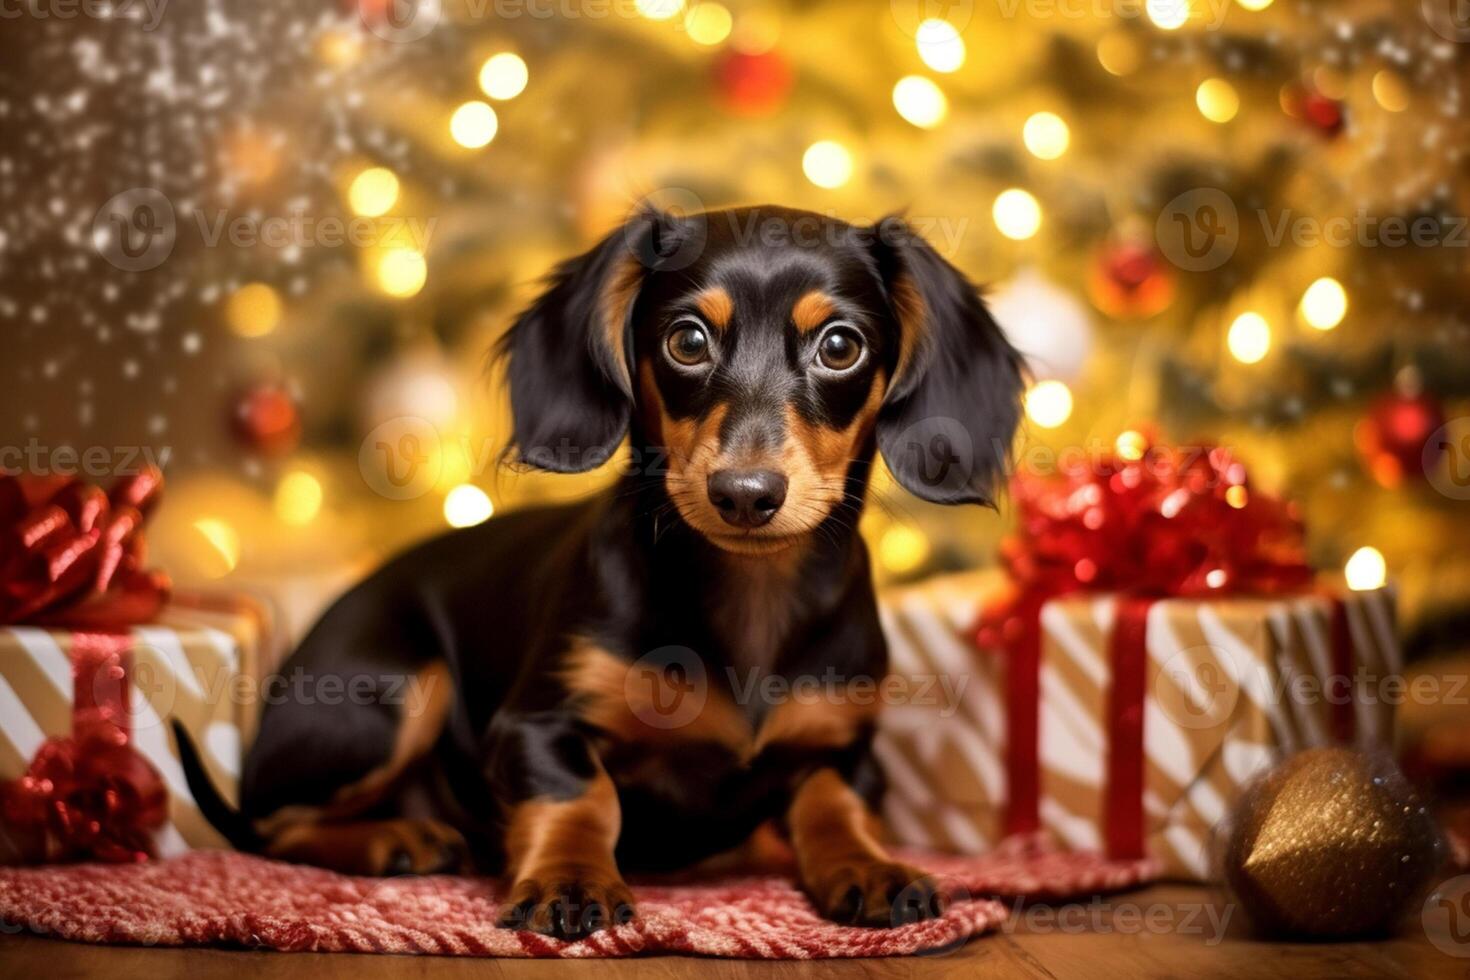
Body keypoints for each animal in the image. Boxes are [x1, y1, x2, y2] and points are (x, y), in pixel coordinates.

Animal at [174, 207, 1023, 940]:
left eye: (841, 347)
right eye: (687, 340)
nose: (745, 494)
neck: (752, 597)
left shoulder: (846, 743)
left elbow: (833, 803)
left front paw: (870, 867)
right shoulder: (536, 726)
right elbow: (584, 797)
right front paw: (571, 879)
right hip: (392, 693)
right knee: (271, 824)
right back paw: (398, 839)